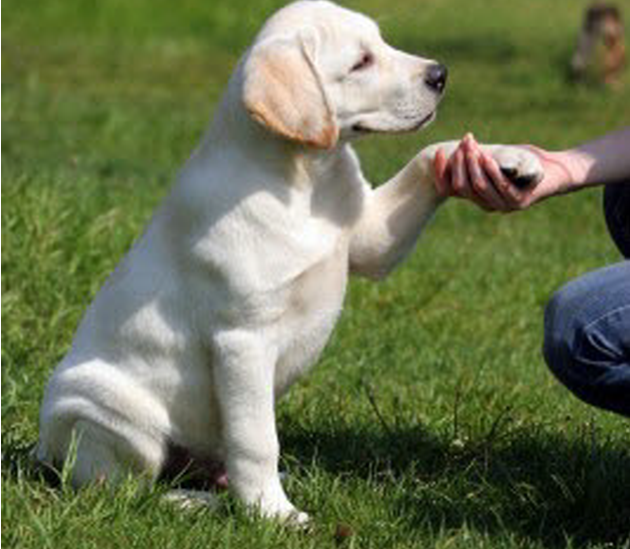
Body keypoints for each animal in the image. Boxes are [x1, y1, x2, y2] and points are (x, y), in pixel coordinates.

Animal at [37, 0, 544, 524]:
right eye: (361, 62)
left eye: (381, 41)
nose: (440, 74)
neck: (308, 179)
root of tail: (41, 452)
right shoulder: (244, 340)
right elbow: (257, 440)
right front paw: (274, 516)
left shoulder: (371, 236)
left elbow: (428, 156)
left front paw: (505, 159)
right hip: (102, 410)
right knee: (121, 489)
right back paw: (195, 501)